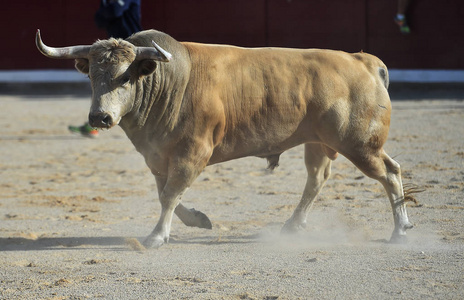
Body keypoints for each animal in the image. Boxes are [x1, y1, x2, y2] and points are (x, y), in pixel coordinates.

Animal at [35, 28, 414, 248]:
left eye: (125, 78)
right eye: (92, 77)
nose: (99, 117)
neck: (170, 82)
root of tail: (364, 61)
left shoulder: (193, 152)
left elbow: (169, 194)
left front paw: (156, 236)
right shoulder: (158, 156)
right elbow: (166, 193)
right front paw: (197, 220)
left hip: (359, 144)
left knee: (390, 172)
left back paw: (400, 231)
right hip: (319, 143)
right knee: (316, 179)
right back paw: (293, 226)